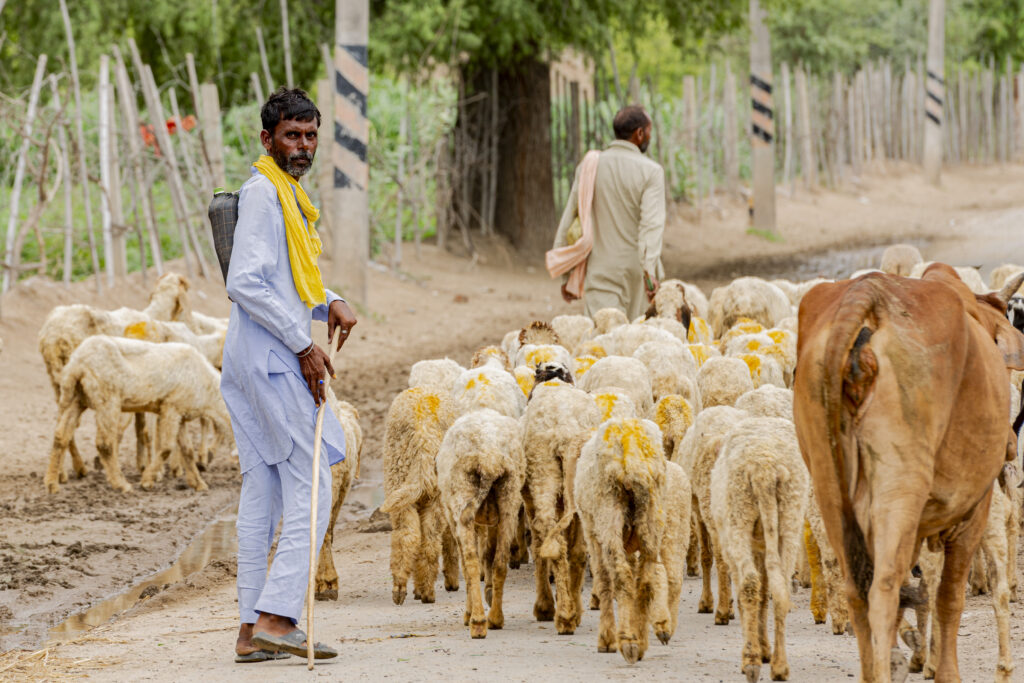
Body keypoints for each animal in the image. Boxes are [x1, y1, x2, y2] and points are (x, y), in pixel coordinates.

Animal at [436, 409, 524, 638]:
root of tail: (489, 458)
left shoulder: (453, 517)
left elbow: (469, 565)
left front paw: (468, 614)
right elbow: (490, 554)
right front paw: (490, 593)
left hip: (463, 496)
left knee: (471, 563)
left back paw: (476, 621)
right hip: (509, 497)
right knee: (500, 561)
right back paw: (495, 618)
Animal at [577, 417, 671, 663]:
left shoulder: (592, 534)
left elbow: (604, 581)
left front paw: (606, 640)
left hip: (608, 513)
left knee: (621, 576)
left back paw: (627, 641)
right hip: (652, 517)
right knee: (645, 581)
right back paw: (640, 641)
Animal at [708, 419, 811, 679]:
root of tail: (764, 467)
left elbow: (747, 594)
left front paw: (756, 648)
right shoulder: (762, 547)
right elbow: (766, 595)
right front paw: (765, 649)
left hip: (739, 517)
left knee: (749, 583)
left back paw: (750, 660)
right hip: (789, 516)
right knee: (780, 587)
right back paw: (780, 666)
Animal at [790, 264, 1024, 683]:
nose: (1011, 444)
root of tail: (872, 295)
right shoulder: (972, 511)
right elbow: (949, 595)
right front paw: (944, 671)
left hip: (830, 485)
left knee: (857, 589)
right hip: (899, 487)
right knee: (882, 589)